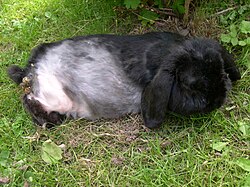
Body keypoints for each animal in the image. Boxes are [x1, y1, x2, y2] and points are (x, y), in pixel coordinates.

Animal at [7, 31, 241, 129]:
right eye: (191, 85)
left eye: (222, 72)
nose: (217, 101)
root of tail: (31, 67)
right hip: (55, 96)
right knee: (28, 99)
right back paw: (50, 120)